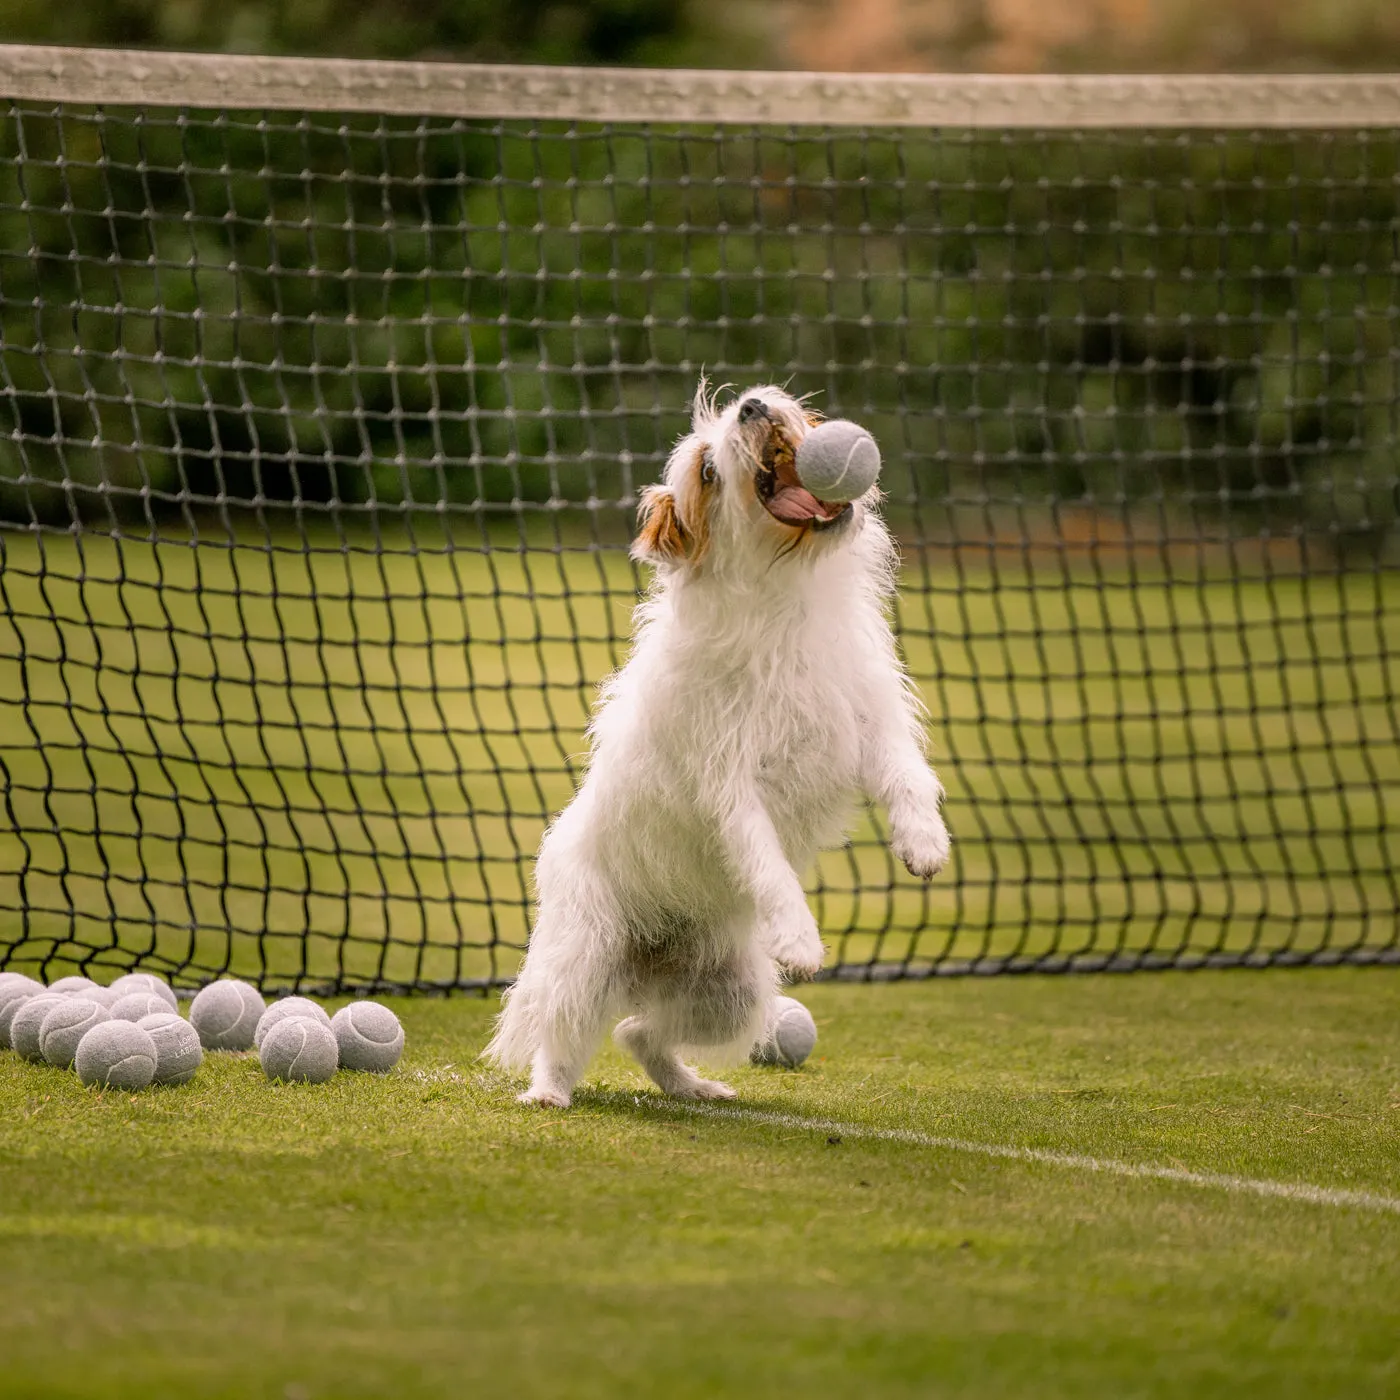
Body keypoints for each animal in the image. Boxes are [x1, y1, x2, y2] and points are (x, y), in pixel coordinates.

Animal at [484, 383, 952, 1103]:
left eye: (762, 399)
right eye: (706, 470)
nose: (754, 405)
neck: (785, 601)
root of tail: (647, 963)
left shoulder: (871, 716)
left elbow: (906, 774)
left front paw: (924, 844)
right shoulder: (728, 785)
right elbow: (765, 861)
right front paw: (800, 937)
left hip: (729, 992)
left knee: (638, 1033)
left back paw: (691, 1087)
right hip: (587, 956)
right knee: (564, 1035)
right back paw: (548, 1093)